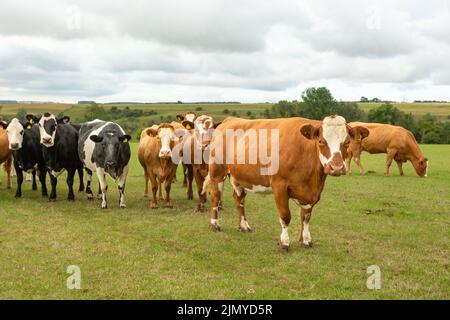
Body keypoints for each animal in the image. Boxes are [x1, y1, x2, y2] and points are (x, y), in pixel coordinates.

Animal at [207, 114, 370, 251]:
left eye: (347, 142)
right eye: (321, 141)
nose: (336, 168)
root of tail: (229, 119)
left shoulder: (313, 192)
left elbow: (306, 216)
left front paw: (306, 240)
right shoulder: (279, 186)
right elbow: (285, 216)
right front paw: (284, 243)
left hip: (238, 177)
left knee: (239, 199)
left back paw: (244, 226)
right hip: (217, 172)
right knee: (215, 196)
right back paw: (215, 224)